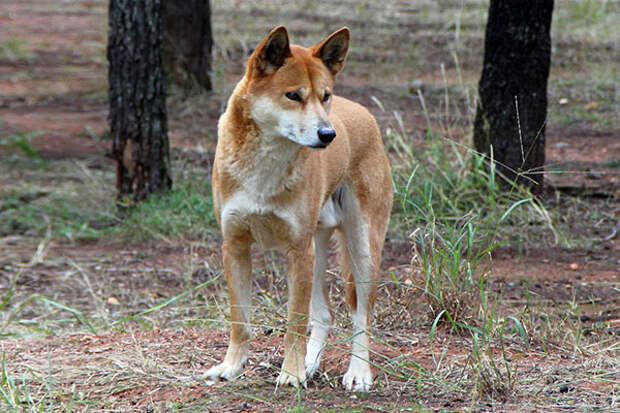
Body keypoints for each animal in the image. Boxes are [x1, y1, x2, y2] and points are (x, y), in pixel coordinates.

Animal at [208, 25, 392, 392]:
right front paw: (231, 367)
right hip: (317, 251)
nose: (328, 134)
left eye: (325, 96)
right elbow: (240, 321)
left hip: (361, 250)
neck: (265, 165)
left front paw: (290, 374)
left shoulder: (297, 250)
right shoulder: (235, 245)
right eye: (293, 95)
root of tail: (362, 111)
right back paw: (310, 364)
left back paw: (358, 372)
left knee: (362, 315)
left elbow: (294, 322)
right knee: (325, 314)